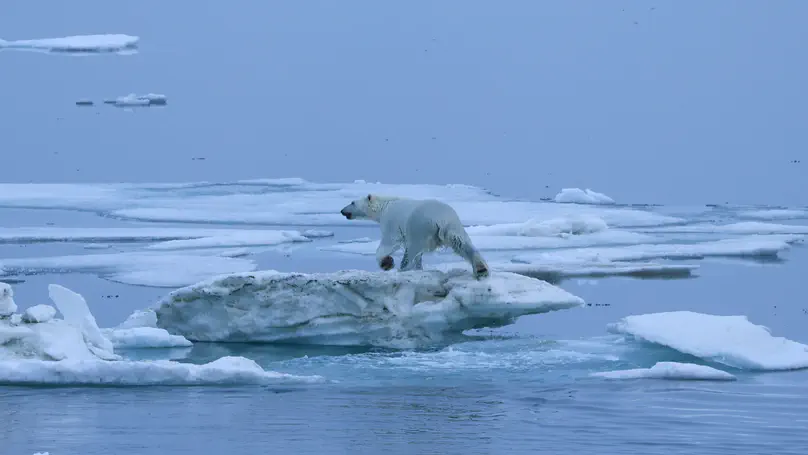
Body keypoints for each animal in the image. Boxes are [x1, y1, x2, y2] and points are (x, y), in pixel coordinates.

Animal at [338, 194, 490, 280]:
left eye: (352, 202)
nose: (341, 210)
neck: (385, 205)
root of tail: (441, 219)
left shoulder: (391, 222)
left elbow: (389, 243)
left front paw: (387, 263)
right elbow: (418, 255)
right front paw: (418, 268)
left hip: (419, 226)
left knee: (412, 249)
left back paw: (402, 269)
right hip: (454, 225)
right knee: (462, 243)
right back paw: (481, 268)